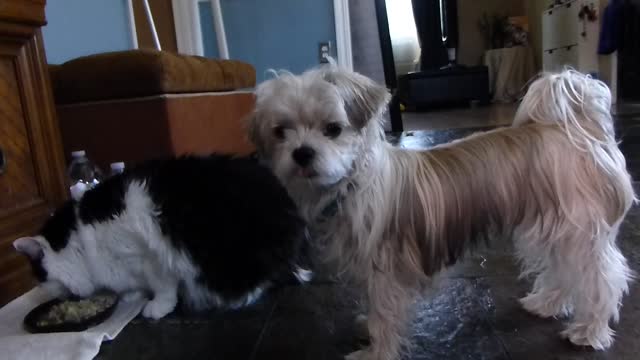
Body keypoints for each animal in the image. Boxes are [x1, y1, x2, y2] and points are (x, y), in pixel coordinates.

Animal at [11, 156, 308, 320]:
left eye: (41, 277)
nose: (44, 291)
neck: (82, 239)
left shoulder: (152, 256)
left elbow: (164, 287)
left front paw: (156, 307)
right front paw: (132, 296)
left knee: (259, 282)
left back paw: (234, 300)